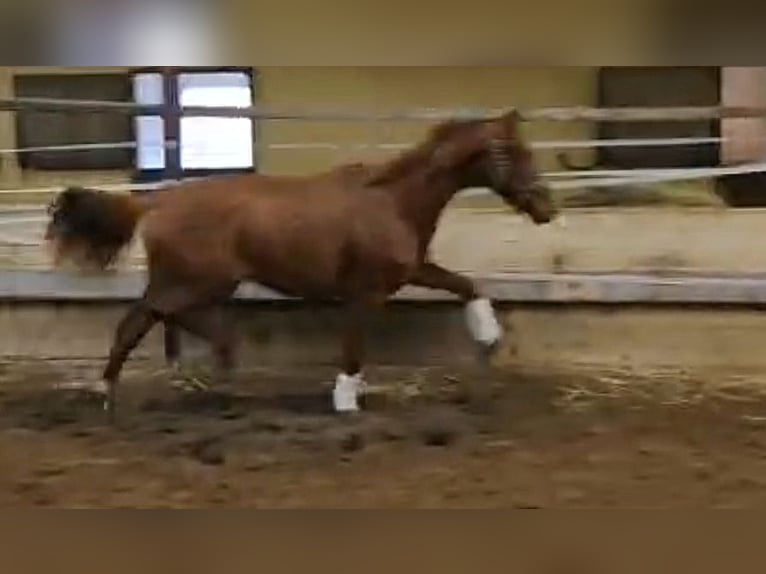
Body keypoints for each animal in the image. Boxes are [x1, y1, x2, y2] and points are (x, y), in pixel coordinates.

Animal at [45, 109, 558, 420]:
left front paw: (488, 336)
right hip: (191, 281)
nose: (546, 208)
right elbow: (354, 345)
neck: (392, 201)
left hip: (203, 283)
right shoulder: (366, 291)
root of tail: (157, 201)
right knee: (140, 320)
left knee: (162, 319)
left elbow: (467, 284)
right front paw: (346, 401)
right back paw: (113, 390)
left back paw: (213, 368)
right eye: (509, 153)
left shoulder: (411, 271)